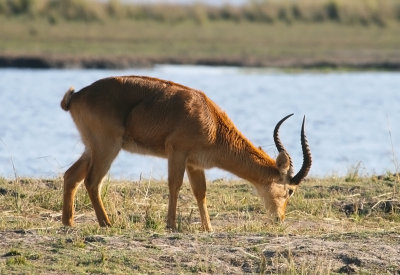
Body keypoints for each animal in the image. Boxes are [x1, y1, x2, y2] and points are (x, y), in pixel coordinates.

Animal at [59, 76, 310, 233]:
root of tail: (77, 95)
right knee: (92, 181)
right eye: (290, 190)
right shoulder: (177, 152)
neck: (213, 124)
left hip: (92, 148)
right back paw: (106, 223)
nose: (279, 219)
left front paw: (208, 228)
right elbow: (175, 185)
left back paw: (68, 223)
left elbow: (200, 192)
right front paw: (171, 225)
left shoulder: (194, 163)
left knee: (71, 176)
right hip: (107, 147)